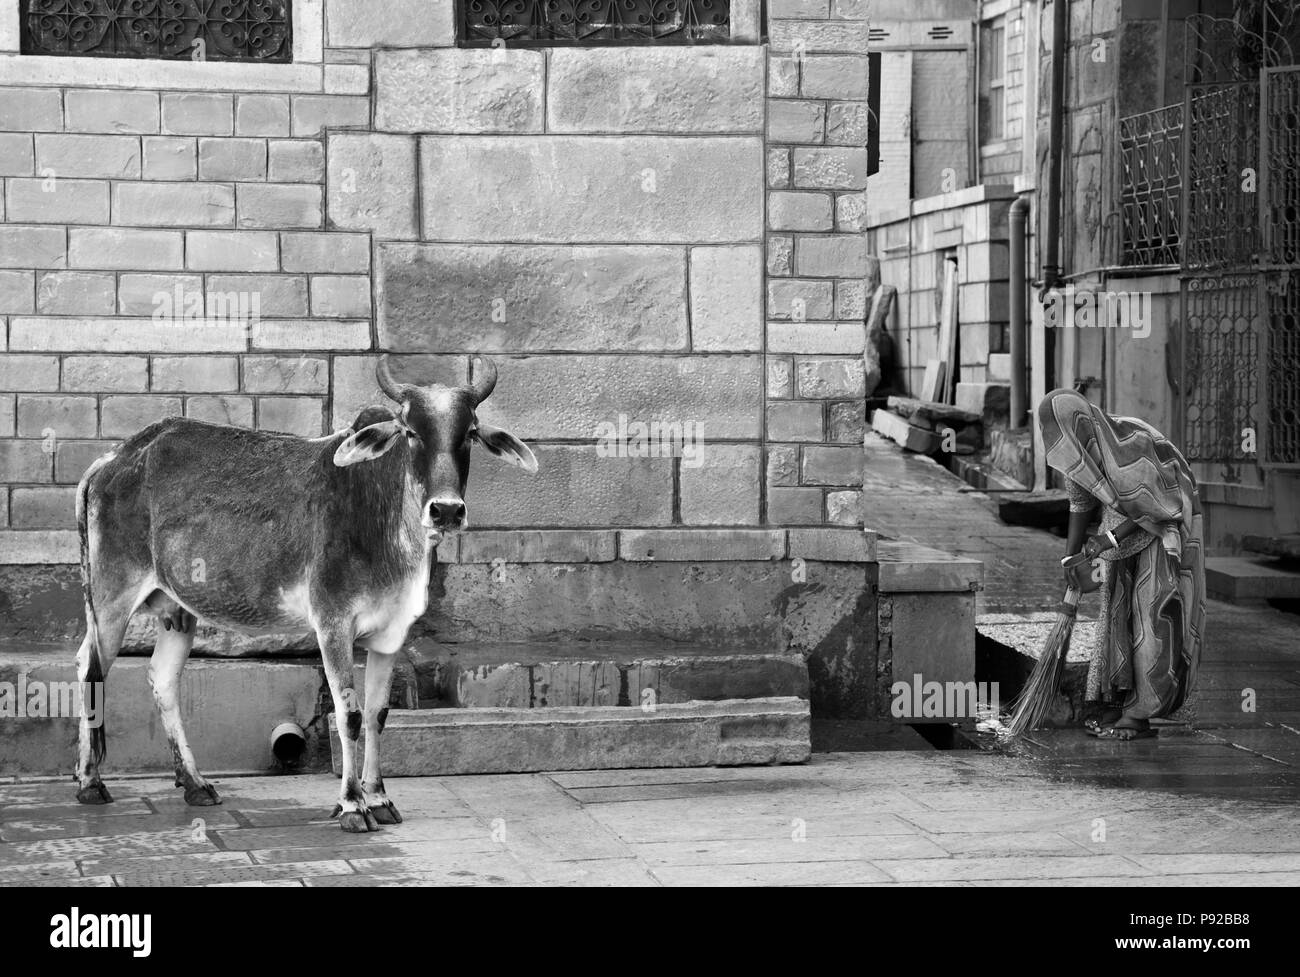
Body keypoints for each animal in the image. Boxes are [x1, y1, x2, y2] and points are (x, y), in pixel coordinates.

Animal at [72, 358, 533, 831]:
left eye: (471, 432)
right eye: (409, 431)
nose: (446, 510)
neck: (384, 516)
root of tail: (115, 457)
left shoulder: (392, 633)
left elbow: (377, 714)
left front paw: (379, 798)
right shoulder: (333, 624)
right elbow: (349, 714)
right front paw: (352, 805)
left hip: (179, 611)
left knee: (161, 678)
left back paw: (195, 783)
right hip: (110, 598)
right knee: (90, 667)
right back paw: (90, 783)